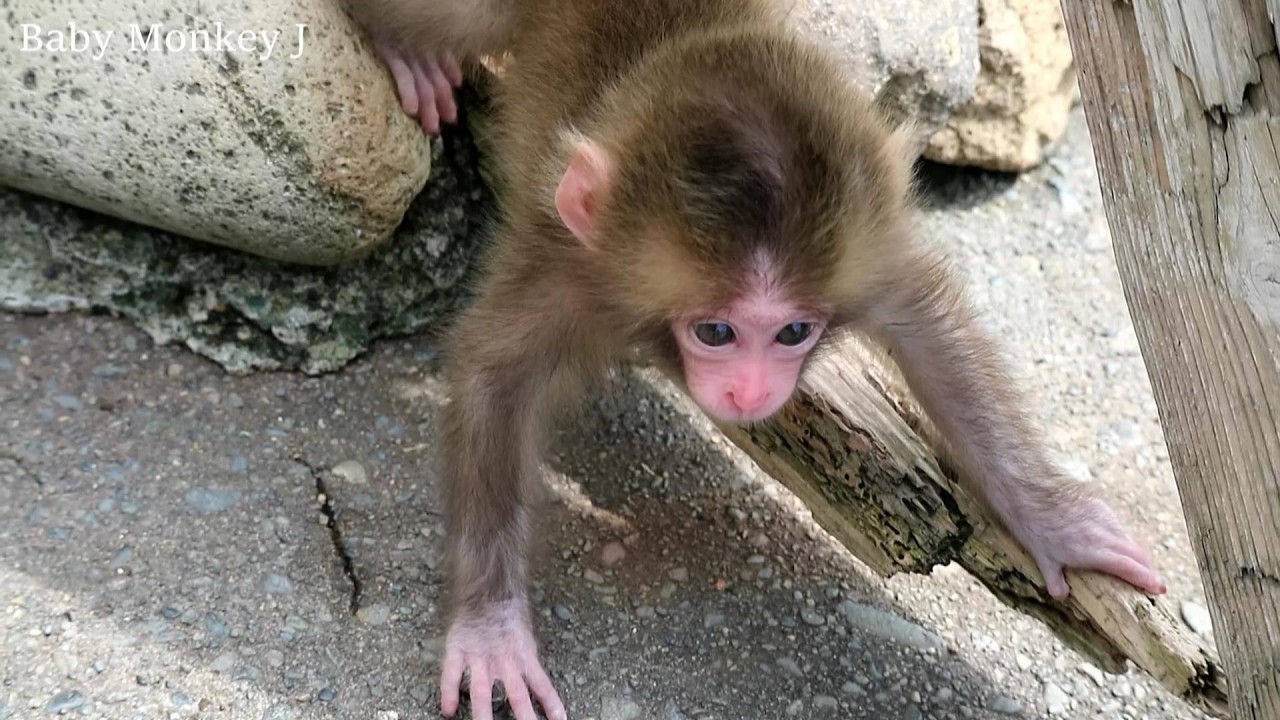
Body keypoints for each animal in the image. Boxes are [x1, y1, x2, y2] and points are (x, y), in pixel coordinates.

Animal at [344, 2, 1168, 719]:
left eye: (793, 331)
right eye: (715, 333)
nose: (749, 391)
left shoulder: (862, 255)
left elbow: (931, 329)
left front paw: (1050, 519)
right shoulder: (576, 269)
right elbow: (495, 375)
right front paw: (490, 629)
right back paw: (408, 50)